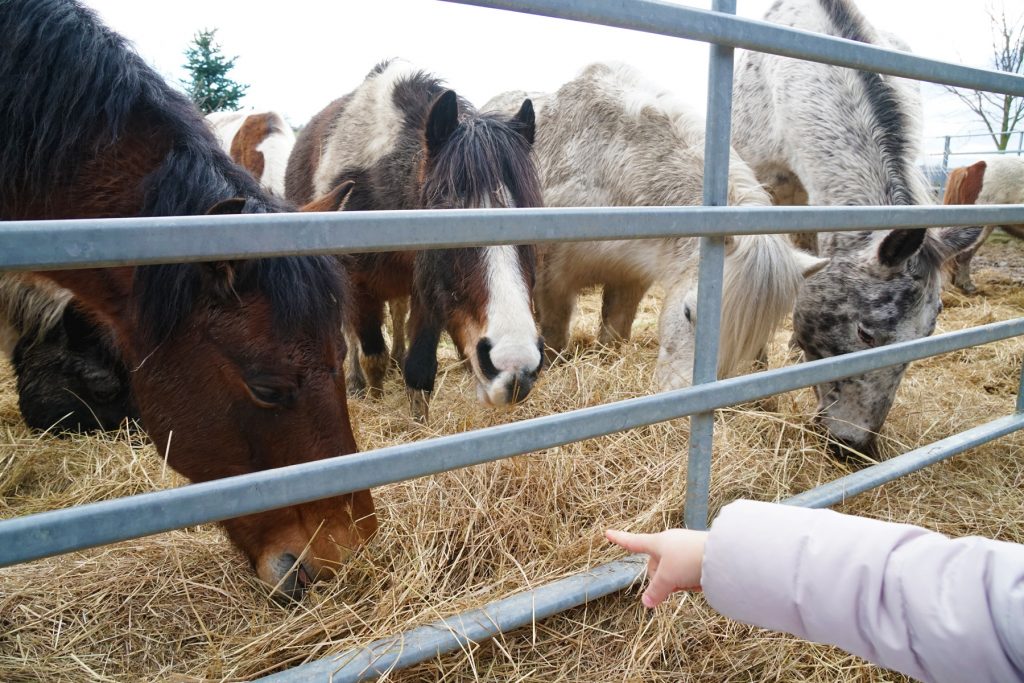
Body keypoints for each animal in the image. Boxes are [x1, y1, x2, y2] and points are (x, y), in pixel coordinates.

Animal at [286, 59, 544, 422]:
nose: (515, 366)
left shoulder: (427, 291)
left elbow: (420, 367)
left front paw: (418, 422)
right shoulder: (358, 286)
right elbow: (371, 355)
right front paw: (376, 398)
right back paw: (356, 382)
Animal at [484, 62, 827, 391]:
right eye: (689, 312)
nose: (683, 393)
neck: (607, 166)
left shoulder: (629, 278)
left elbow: (614, 335)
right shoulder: (553, 279)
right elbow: (555, 337)